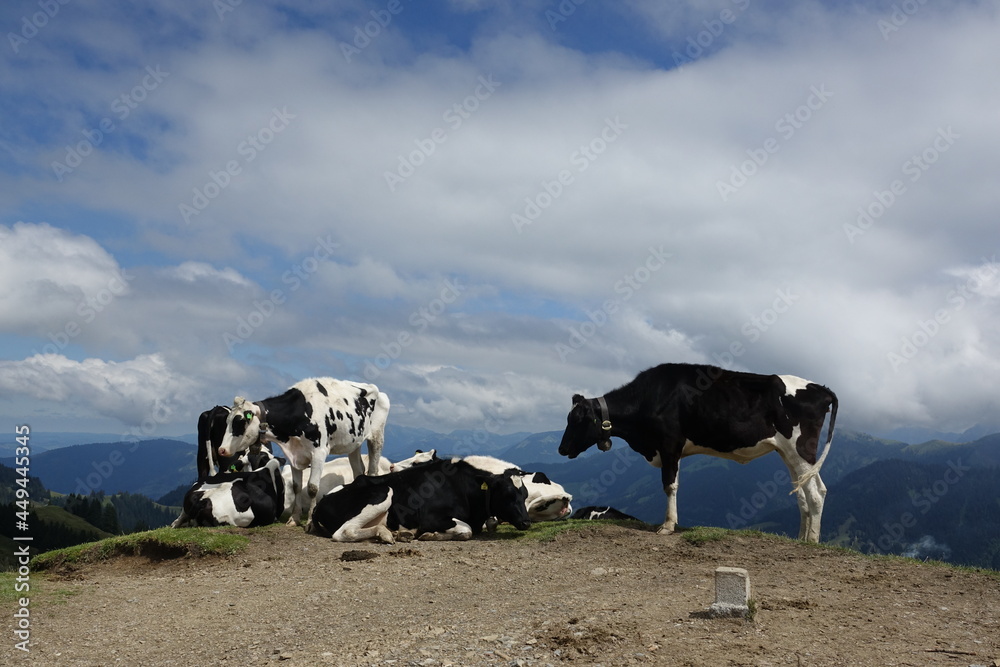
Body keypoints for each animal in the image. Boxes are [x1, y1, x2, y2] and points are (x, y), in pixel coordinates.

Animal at [217, 380, 388, 532]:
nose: (222, 450)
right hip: (354, 444)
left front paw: (311, 522)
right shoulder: (294, 455)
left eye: (240, 421)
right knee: (358, 471)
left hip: (376, 436)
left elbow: (312, 488)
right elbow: (297, 486)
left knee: (373, 470)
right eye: (227, 420)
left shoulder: (319, 453)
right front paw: (294, 519)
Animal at [312, 460, 536, 544]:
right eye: (508, 494)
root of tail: (322, 500)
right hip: (383, 491)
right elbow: (466, 530)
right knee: (344, 532)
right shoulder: (431, 517)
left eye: (524, 494)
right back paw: (386, 534)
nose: (526, 522)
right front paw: (430, 534)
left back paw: (398, 533)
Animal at [556, 366, 836, 544]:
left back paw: (812, 540)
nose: (561, 449)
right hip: (786, 452)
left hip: (801, 448)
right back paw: (801, 538)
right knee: (803, 493)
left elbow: (669, 485)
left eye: (576, 419)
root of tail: (821, 388)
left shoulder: (669, 443)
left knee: (815, 492)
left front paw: (668, 526)